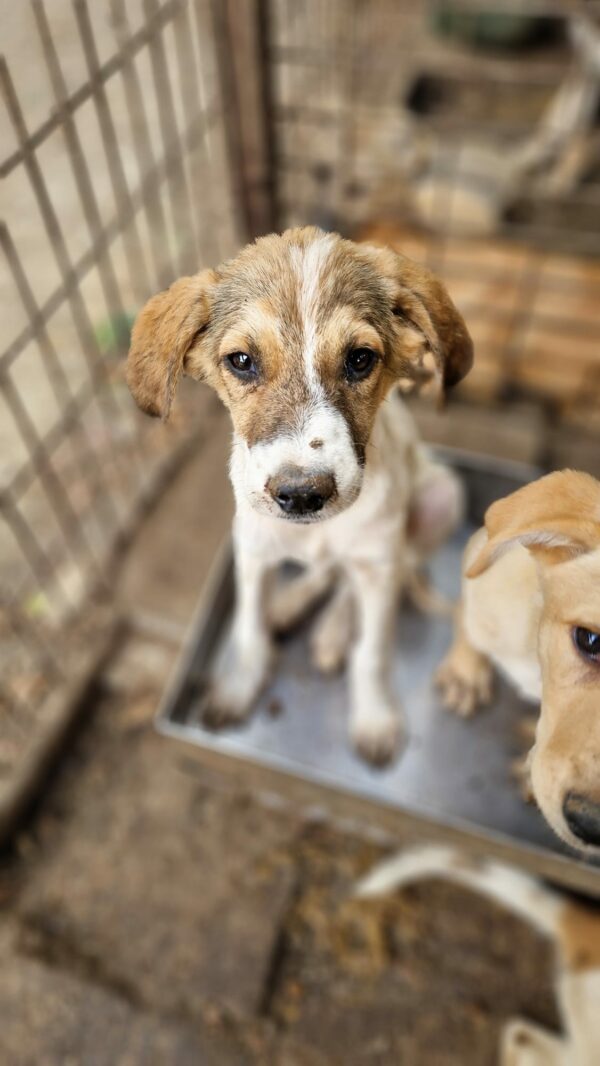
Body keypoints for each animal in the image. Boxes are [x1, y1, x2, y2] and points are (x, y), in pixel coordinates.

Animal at [127, 224, 475, 763]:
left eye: (360, 359)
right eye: (241, 361)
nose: (302, 495)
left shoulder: (378, 562)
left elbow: (371, 653)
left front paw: (374, 718)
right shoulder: (251, 552)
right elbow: (249, 632)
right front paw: (238, 689)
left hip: (440, 499)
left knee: (369, 578)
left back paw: (332, 630)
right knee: (328, 573)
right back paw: (292, 605)